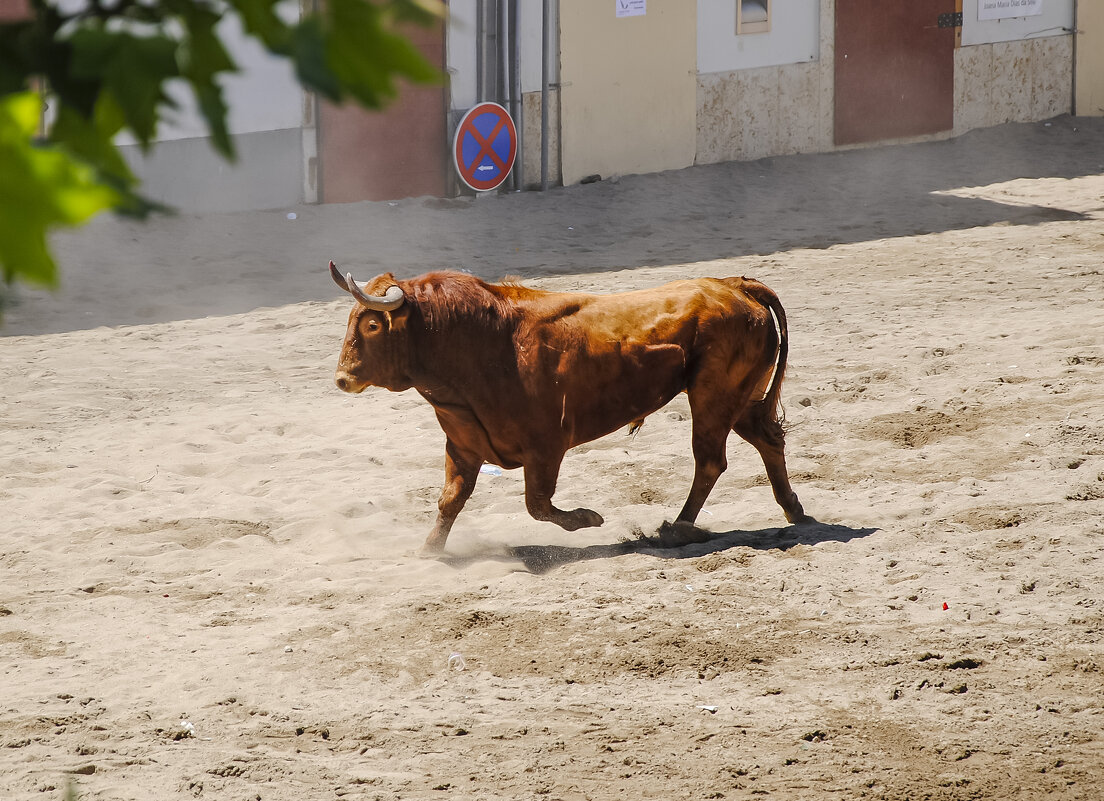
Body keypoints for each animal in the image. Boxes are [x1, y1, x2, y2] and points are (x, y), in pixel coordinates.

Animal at [331, 263, 808, 551]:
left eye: (371, 324)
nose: (342, 378)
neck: (481, 342)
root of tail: (734, 285)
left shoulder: (546, 448)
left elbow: (538, 505)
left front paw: (588, 519)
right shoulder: (462, 445)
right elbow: (451, 500)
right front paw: (431, 552)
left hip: (713, 398)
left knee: (710, 461)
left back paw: (675, 528)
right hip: (741, 400)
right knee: (769, 441)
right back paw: (793, 510)